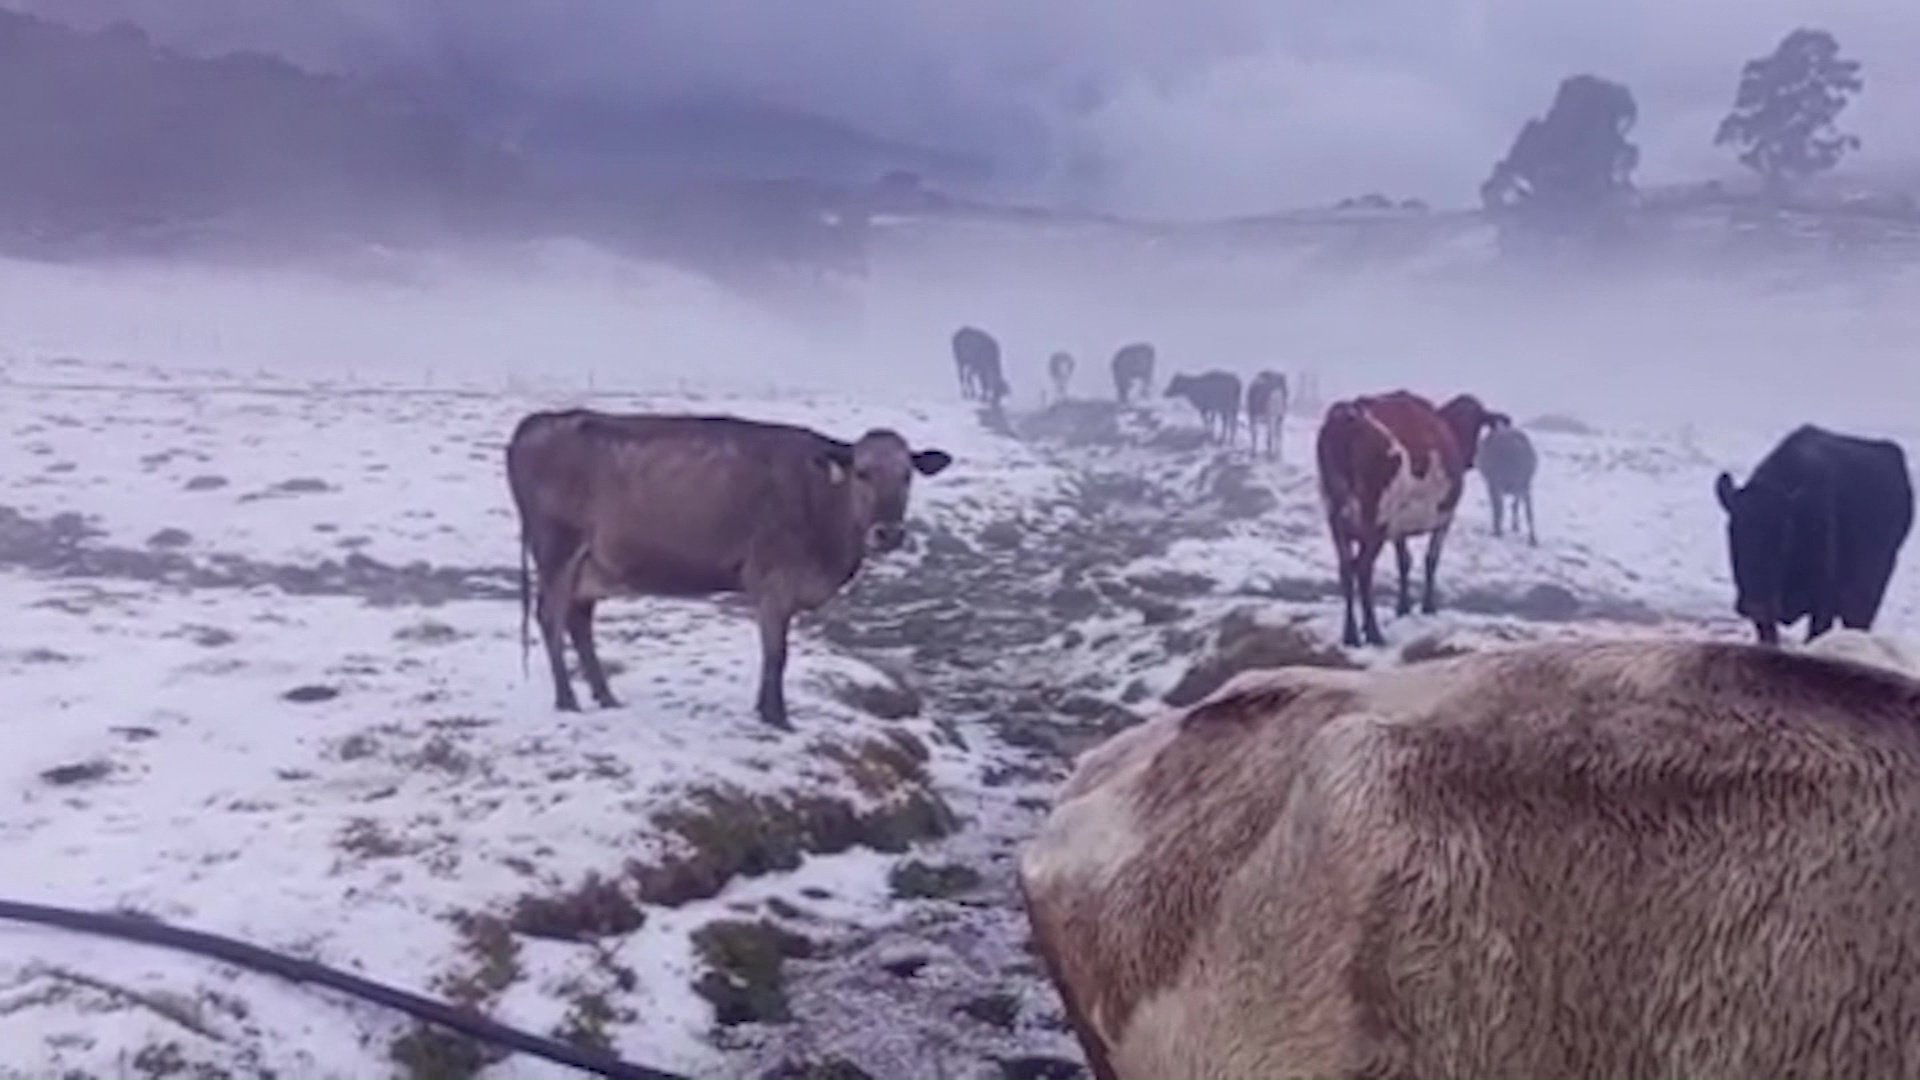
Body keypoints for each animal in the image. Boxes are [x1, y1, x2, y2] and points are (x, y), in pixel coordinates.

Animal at [503, 407, 952, 726]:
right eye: (862, 472)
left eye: (907, 475)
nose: (888, 533)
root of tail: (538, 421)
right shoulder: (772, 579)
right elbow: (776, 654)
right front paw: (777, 717)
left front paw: (764, 711)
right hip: (556, 549)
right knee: (550, 618)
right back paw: (567, 700)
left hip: (592, 565)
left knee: (578, 621)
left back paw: (606, 696)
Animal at [1320, 388, 1512, 641]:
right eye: (1478, 422)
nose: (1470, 460)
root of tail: (1347, 415)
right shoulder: (1445, 517)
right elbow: (1431, 559)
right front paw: (1427, 607)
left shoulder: (1399, 522)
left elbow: (1404, 562)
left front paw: (1403, 607)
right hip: (1375, 519)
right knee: (1363, 570)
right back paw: (1374, 633)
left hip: (1336, 518)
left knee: (1345, 569)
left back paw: (1350, 634)